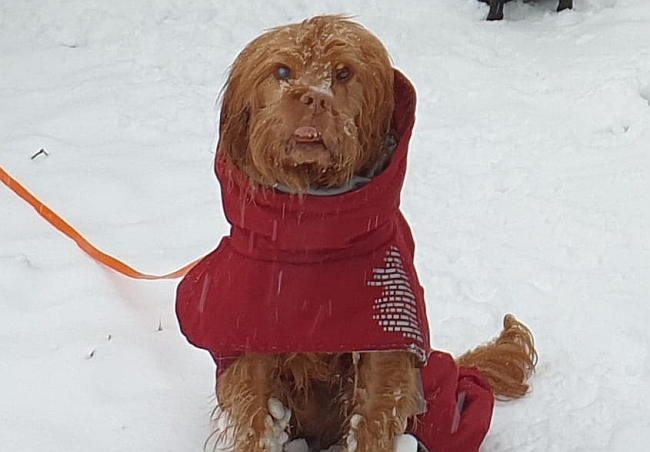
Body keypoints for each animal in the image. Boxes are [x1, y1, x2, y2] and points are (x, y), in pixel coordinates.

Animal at [173, 14, 536, 452]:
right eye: (283, 72)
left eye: (344, 73)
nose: (314, 99)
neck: (308, 238)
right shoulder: (250, 341)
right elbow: (259, 419)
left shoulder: (385, 341)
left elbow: (374, 413)